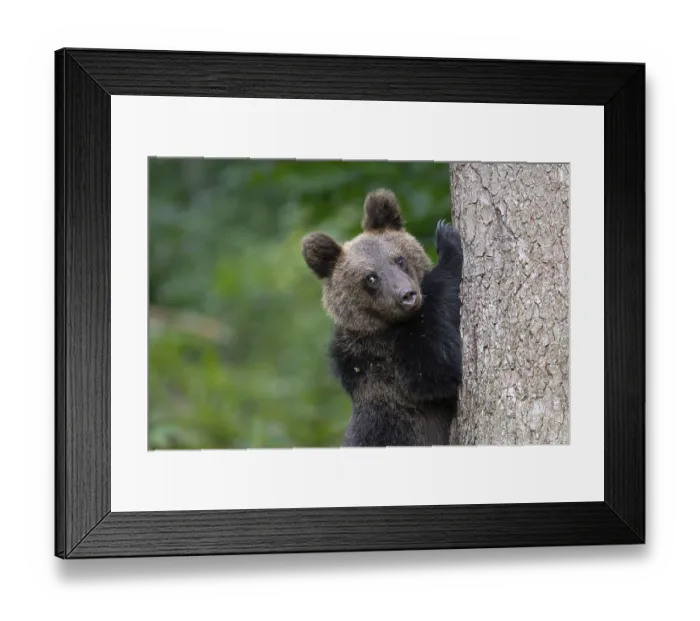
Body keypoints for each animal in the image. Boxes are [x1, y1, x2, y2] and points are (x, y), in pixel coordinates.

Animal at [301, 188, 464, 447]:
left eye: (399, 259)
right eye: (370, 278)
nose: (407, 295)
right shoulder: (387, 360)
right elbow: (436, 369)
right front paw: (447, 239)